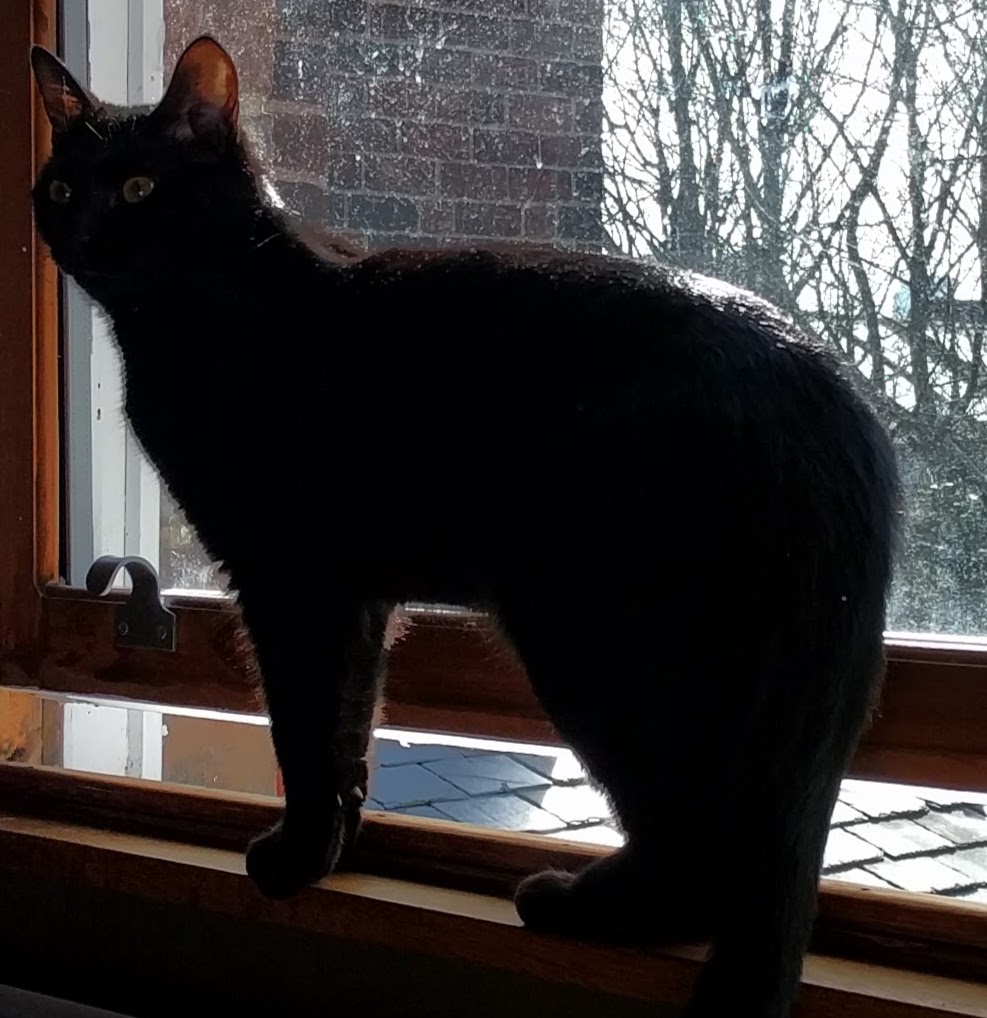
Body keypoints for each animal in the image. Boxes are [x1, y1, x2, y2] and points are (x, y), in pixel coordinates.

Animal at [31, 37, 900, 1018]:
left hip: (599, 643)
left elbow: (301, 721)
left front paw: (293, 859)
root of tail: (839, 409)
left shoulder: (294, 579)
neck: (208, 309)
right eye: (62, 187)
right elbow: (346, 724)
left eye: (139, 188)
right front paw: (332, 849)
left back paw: (573, 907)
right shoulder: (358, 597)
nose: (84, 231)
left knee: (699, 848)